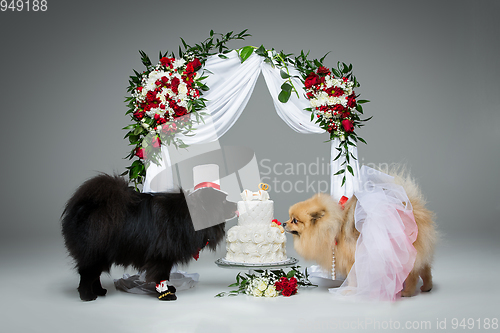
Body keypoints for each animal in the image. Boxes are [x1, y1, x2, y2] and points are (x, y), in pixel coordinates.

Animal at [61, 174, 236, 300]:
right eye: (224, 201)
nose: (235, 203)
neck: (189, 216)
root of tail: (85, 206)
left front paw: (168, 289)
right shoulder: (161, 257)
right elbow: (160, 276)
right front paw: (166, 294)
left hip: (101, 256)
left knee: (95, 275)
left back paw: (100, 291)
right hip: (95, 253)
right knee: (86, 275)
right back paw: (87, 296)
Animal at [286, 169, 438, 296]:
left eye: (295, 220)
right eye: (290, 218)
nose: (284, 223)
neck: (333, 228)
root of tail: (412, 207)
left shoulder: (351, 260)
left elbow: (353, 278)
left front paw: (349, 290)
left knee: (413, 273)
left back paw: (407, 292)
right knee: (425, 269)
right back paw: (427, 287)